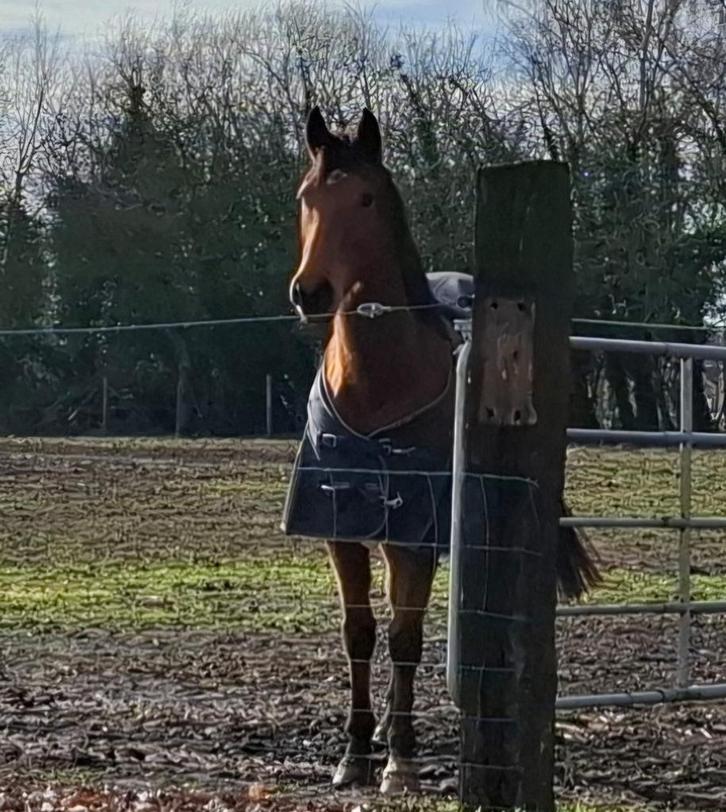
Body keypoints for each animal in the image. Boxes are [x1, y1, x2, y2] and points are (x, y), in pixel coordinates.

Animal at [282, 107, 599, 796]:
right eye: (306, 197)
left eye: (366, 198)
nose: (310, 293)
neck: (376, 388)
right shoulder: (339, 528)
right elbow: (359, 632)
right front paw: (354, 751)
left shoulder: (415, 535)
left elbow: (405, 637)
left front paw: (400, 760)